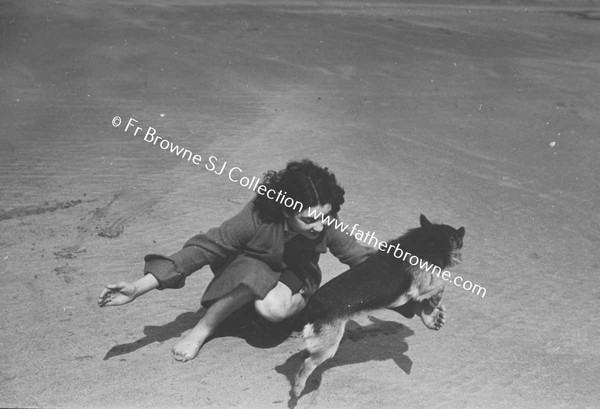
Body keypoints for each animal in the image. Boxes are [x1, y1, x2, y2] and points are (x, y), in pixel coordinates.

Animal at [290, 214, 464, 396]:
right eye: (458, 239)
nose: (463, 230)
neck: (427, 240)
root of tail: (312, 305)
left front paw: (431, 308)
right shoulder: (419, 288)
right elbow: (440, 285)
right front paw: (435, 300)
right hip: (329, 346)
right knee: (308, 364)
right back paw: (298, 387)